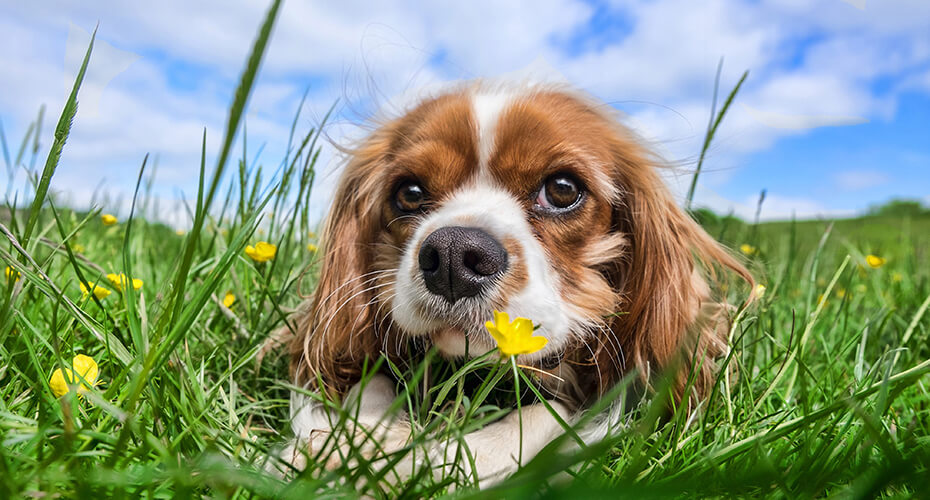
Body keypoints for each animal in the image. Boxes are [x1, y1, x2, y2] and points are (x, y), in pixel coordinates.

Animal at [280, 80, 752, 486]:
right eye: (409, 193)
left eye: (562, 189)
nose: (453, 255)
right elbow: (369, 382)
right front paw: (346, 444)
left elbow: (544, 416)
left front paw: (422, 461)